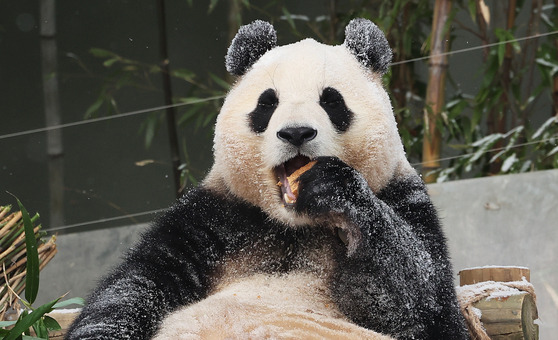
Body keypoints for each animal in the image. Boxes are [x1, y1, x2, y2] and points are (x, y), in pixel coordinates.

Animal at [66, 19, 472, 340]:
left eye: (332, 101)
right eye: (268, 103)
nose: (296, 133)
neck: (294, 226)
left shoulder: (402, 197)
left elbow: (420, 300)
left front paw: (335, 189)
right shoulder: (214, 217)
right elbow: (138, 284)